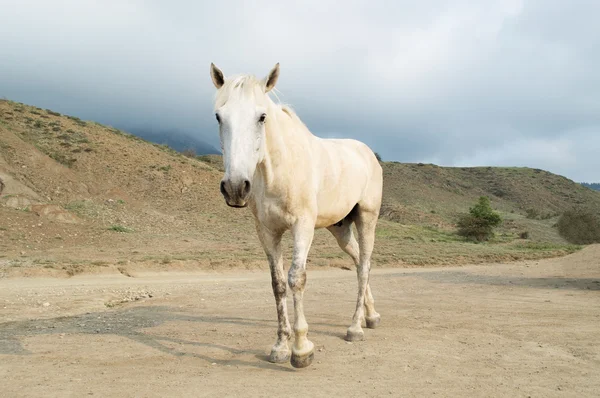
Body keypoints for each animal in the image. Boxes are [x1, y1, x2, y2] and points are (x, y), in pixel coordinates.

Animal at [209, 63, 382, 370]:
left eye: (262, 117)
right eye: (219, 116)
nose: (235, 187)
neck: (279, 170)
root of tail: (368, 154)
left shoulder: (303, 227)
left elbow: (296, 278)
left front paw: (301, 350)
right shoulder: (267, 232)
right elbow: (277, 284)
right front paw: (280, 347)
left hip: (366, 218)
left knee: (364, 266)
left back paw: (354, 328)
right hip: (341, 229)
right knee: (359, 260)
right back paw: (369, 316)